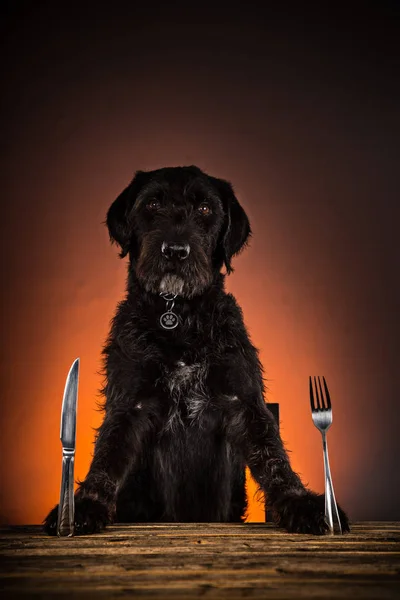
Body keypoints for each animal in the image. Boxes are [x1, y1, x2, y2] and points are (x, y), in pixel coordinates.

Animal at [44, 164, 350, 536]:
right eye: (152, 204)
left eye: (204, 209)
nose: (175, 250)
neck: (178, 315)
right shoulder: (129, 403)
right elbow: (108, 454)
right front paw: (84, 505)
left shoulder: (242, 400)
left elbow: (273, 456)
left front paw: (301, 503)